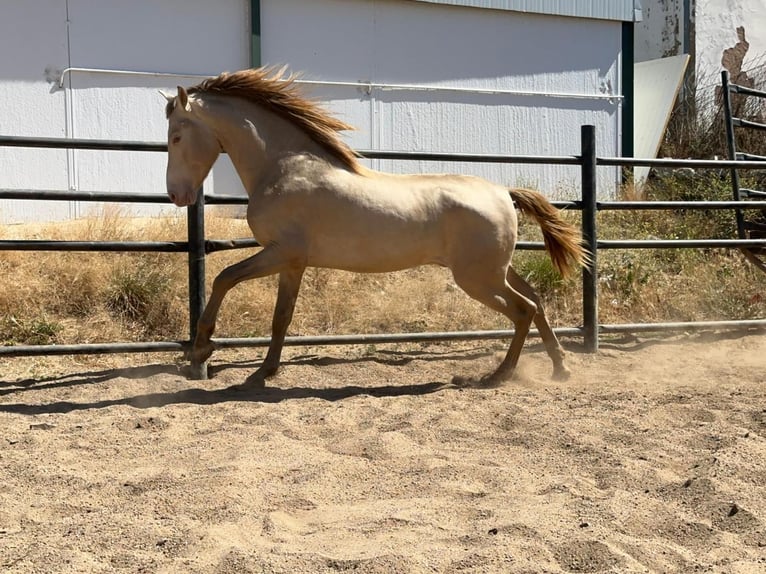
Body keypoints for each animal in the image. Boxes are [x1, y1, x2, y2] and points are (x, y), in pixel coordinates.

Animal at [164, 67, 588, 392]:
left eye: (176, 136)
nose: (176, 194)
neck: (284, 167)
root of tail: (503, 192)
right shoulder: (292, 263)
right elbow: (281, 315)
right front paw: (261, 373)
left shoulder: (281, 252)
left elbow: (224, 278)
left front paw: (201, 351)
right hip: (495, 270)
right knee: (535, 301)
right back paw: (560, 368)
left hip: (477, 278)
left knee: (523, 310)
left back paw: (496, 376)